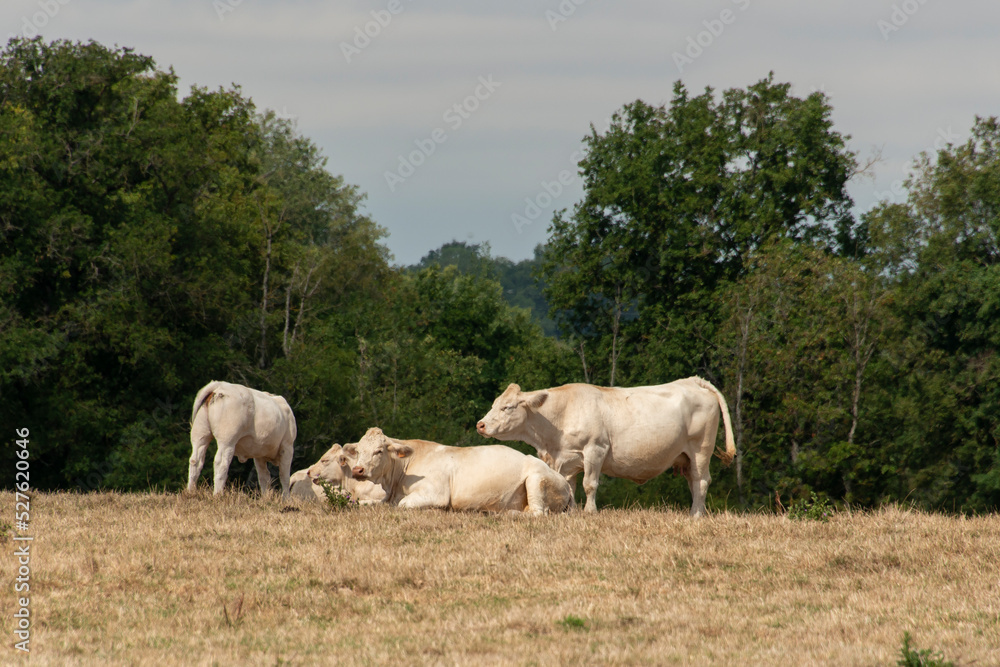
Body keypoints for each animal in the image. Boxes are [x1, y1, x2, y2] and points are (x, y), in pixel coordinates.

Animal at [341, 427, 573, 515]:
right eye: (358, 451)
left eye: (379, 451)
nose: (358, 470)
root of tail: (566, 484)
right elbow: (362, 503)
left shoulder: (435, 493)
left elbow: (404, 505)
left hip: (536, 479)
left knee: (537, 513)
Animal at [476, 376, 736, 517]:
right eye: (494, 404)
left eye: (507, 407)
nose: (480, 424)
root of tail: (693, 381)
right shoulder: (567, 460)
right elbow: (569, 487)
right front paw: (571, 512)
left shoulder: (595, 449)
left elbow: (589, 484)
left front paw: (590, 511)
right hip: (685, 456)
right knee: (693, 481)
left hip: (701, 449)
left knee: (702, 481)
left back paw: (696, 515)